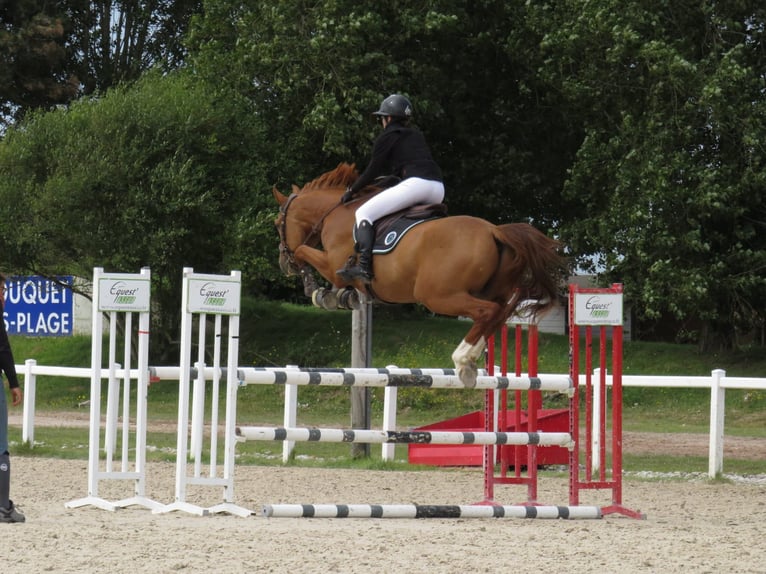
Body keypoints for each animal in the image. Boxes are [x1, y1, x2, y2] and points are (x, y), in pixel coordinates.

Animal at [272, 162, 568, 388]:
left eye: (277, 224)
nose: (283, 262)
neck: (334, 213)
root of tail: (494, 231)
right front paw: (338, 296)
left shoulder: (334, 264)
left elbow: (304, 251)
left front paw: (317, 290)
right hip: (490, 289)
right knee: (500, 313)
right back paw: (470, 361)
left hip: (438, 295)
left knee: (488, 311)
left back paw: (462, 358)